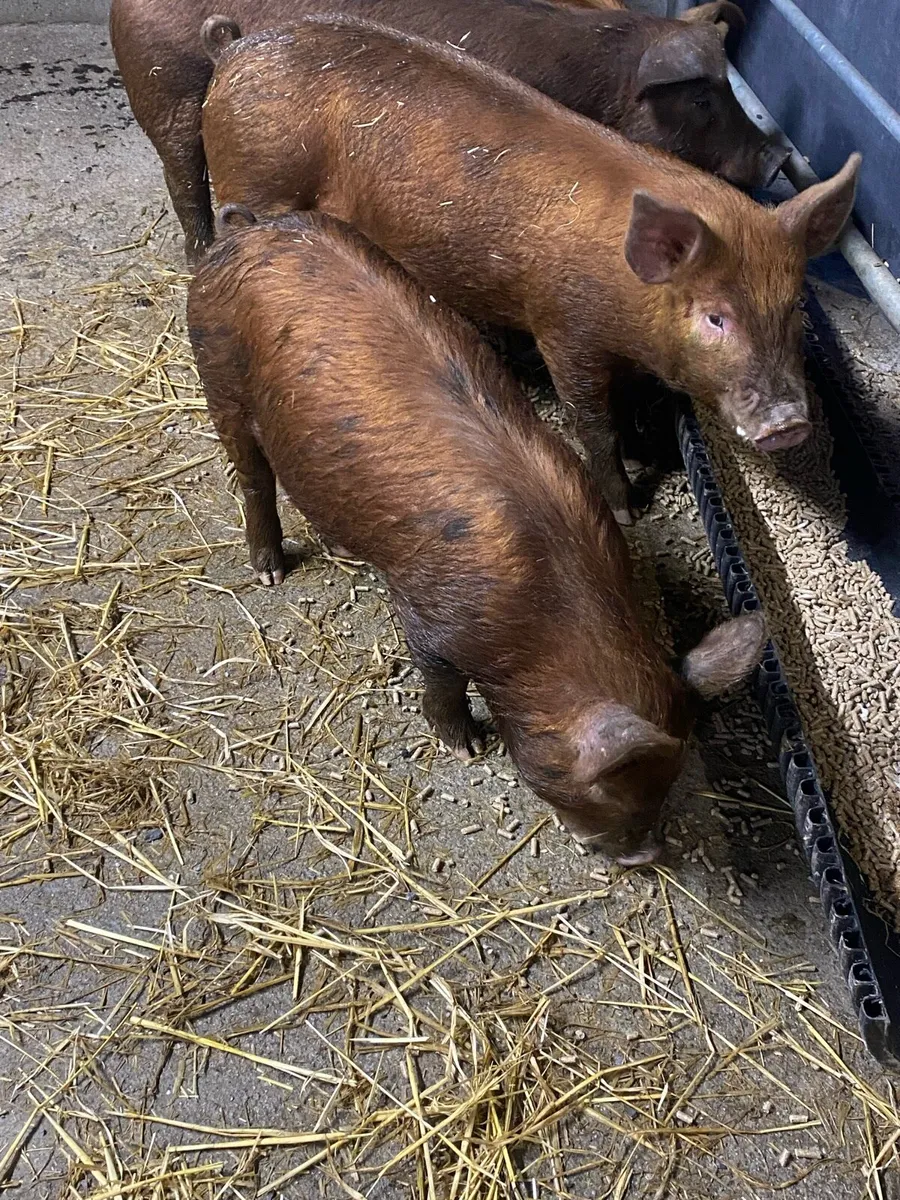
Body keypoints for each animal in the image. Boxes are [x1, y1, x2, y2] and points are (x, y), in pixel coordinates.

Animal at [109, 0, 787, 263]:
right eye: (701, 96)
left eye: (729, 86)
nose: (778, 155)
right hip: (165, 94)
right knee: (184, 180)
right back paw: (197, 256)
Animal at [188, 203, 767, 862]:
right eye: (603, 789)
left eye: (666, 786)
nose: (642, 857)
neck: (546, 630)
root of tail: (246, 229)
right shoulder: (430, 618)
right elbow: (439, 681)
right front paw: (466, 746)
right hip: (218, 376)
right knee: (253, 478)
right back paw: (270, 570)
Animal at [200, 16, 860, 522]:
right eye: (716, 318)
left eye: (793, 309)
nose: (789, 422)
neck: (629, 301)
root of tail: (233, 49)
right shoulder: (563, 330)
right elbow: (593, 422)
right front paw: (628, 508)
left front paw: (649, 453)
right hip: (254, 179)